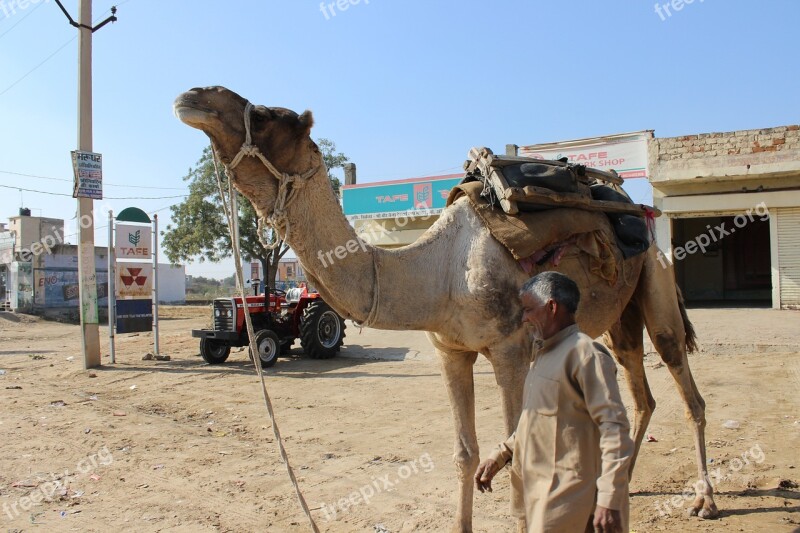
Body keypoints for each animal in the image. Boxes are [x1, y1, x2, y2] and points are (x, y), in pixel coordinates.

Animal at [173, 85, 720, 528]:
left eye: (267, 115)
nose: (193, 96)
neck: (439, 272)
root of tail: (639, 212)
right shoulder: (450, 351)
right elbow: (464, 453)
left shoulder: (511, 349)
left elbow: (516, 453)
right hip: (618, 318)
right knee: (639, 389)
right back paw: (623, 484)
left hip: (656, 278)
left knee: (683, 381)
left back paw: (705, 501)